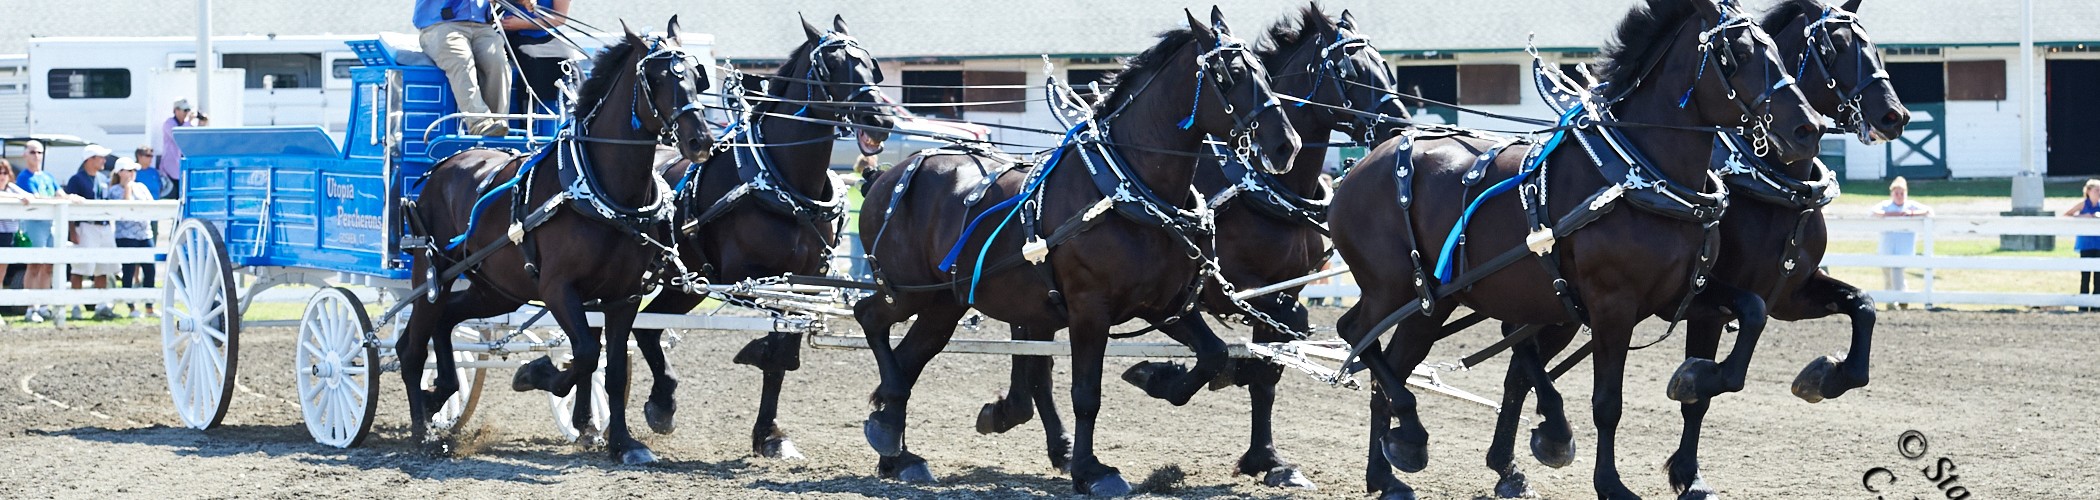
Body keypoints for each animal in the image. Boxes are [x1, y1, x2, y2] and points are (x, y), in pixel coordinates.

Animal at [405, 20, 718, 464]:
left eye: (695, 75)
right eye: (656, 79)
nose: (701, 141)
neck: (604, 192)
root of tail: (444, 164)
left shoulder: (623, 296)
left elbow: (613, 368)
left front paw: (623, 443)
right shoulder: (557, 289)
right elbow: (585, 352)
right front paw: (534, 373)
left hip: (497, 289)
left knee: (446, 320)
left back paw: (440, 393)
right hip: (431, 277)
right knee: (414, 345)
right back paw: (423, 429)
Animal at [852, 6, 1293, 491]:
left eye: (1264, 70)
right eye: (1229, 74)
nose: (1286, 145)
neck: (1127, 189)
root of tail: (886, 175)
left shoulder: (1165, 305)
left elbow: (1214, 355)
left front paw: (1156, 379)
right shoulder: (1089, 309)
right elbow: (1086, 394)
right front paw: (1091, 470)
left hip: (943, 305)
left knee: (908, 357)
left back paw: (896, 450)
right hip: (907, 291)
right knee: (869, 319)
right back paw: (888, 431)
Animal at [970, 2, 1411, 487]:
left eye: (1385, 67)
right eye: (1350, 71)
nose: (1400, 127)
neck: (1259, 188)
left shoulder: (1286, 285)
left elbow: (1268, 373)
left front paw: (1267, 458)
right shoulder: (1226, 288)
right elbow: (1265, 348)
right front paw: (1177, 375)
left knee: (1035, 363)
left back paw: (1048, 438)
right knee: (1035, 366)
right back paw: (1035, 427)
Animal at [1335, 0, 1831, 497]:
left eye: (1775, 50)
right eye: (1737, 53)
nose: (1807, 127)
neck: (1640, 173)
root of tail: (1360, 166)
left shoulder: (1683, 293)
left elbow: (1752, 313)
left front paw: (1694, 378)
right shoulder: (1613, 305)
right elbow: (1607, 401)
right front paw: (1610, 482)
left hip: (1434, 302)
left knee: (1390, 367)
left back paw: (1391, 467)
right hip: (1395, 289)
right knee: (1354, 334)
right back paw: (1409, 440)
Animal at [1478, 1, 1923, 497]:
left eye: (1872, 43)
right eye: (1836, 46)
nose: (1895, 116)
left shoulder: (1790, 293)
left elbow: (1862, 307)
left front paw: (1825, 375)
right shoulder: (1706, 303)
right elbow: (1714, 381)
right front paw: (1691, 402)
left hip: (1561, 308)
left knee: (1518, 361)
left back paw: (1509, 464)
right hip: (1567, 307)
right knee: (1519, 352)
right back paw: (1535, 445)